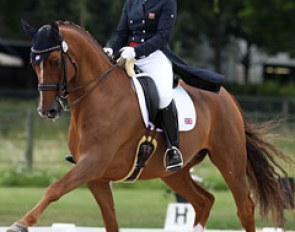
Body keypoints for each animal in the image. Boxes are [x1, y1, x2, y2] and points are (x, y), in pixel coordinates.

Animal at [8, 20, 292, 232]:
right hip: (174, 172)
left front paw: (21, 224)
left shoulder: (93, 163)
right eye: (33, 62)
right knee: (204, 201)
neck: (99, 97)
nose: (48, 110)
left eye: (56, 61)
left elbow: (54, 189)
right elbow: (111, 221)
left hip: (229, 160)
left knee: (244, 207)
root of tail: (227, 97)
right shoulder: (97, 178)